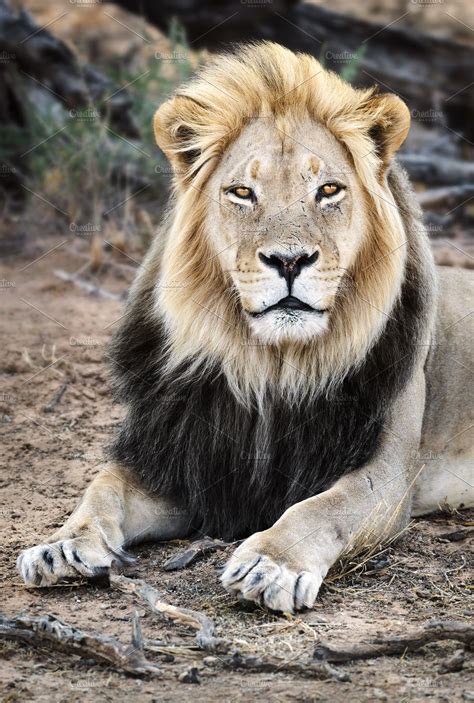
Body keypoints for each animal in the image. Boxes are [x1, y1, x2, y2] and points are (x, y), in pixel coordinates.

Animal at [18, 42, 474, 612]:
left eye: (328, 189)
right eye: (241, 192)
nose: (289, 260)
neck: (268, 363)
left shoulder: (388, 474)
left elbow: (321, 508)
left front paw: (271, 563)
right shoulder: (182, 463)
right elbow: (102, 485)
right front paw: (62, 544)